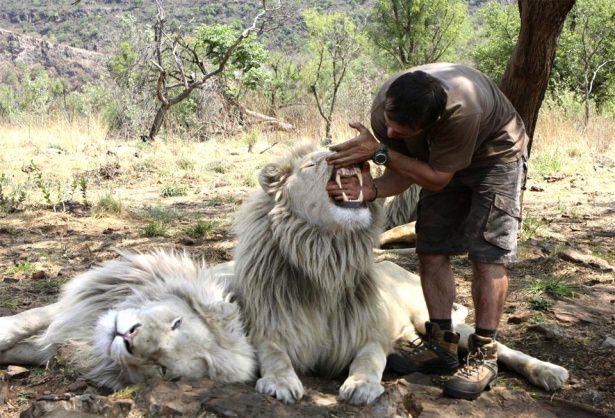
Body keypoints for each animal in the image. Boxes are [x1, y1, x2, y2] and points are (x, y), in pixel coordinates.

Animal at [0, 145, 568, 404]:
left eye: (175, 336)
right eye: (319, 161)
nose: (365, 156)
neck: (323, 260)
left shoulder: (366, 333)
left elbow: (369, 360)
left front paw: (361, 386)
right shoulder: (273, 329)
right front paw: (281, 384)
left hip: (434, 312)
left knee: (493, 342)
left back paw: (545, 371)